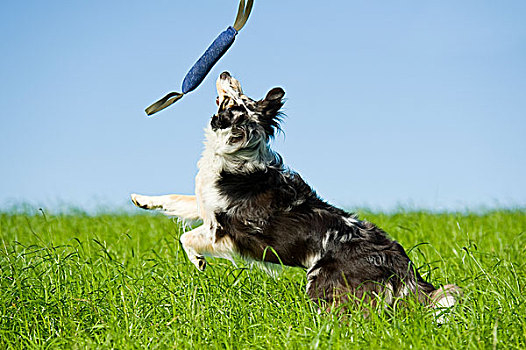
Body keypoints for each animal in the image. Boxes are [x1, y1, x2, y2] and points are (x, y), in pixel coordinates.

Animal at [133, 71, 462, 314]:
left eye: (235, 98)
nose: (225, 72)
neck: (237, 150)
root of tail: (399, 259)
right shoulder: (205, 203)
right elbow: (176, 200)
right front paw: (142, 200)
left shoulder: (223, 232)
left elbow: (186, 237)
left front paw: (198, 261)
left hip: (322, 282)